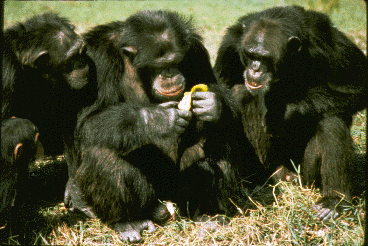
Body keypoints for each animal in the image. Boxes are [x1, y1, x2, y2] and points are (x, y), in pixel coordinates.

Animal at [64, 10, 266, 243]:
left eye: (176, 61)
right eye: (159, 65)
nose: (169, 74)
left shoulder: (196, 49)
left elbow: (217, 84)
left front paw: (213, 104)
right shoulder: (99, 59)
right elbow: (88, 121)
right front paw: (157, 119)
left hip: (179, 193)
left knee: (220, 141)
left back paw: (209, 215)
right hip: (153, 199)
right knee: (103, 152)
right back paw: (129, 222)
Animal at [214, 5, 366, 221]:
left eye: (264, 58)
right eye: (250, 54)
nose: (255, 69)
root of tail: (285, 174)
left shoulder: (330, 42)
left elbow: (358, 85)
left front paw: (287, 111)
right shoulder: (229, 46)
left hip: (305, 175)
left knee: (331, 120)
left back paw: (333, 201)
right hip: (268, 169)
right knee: (242, 94)